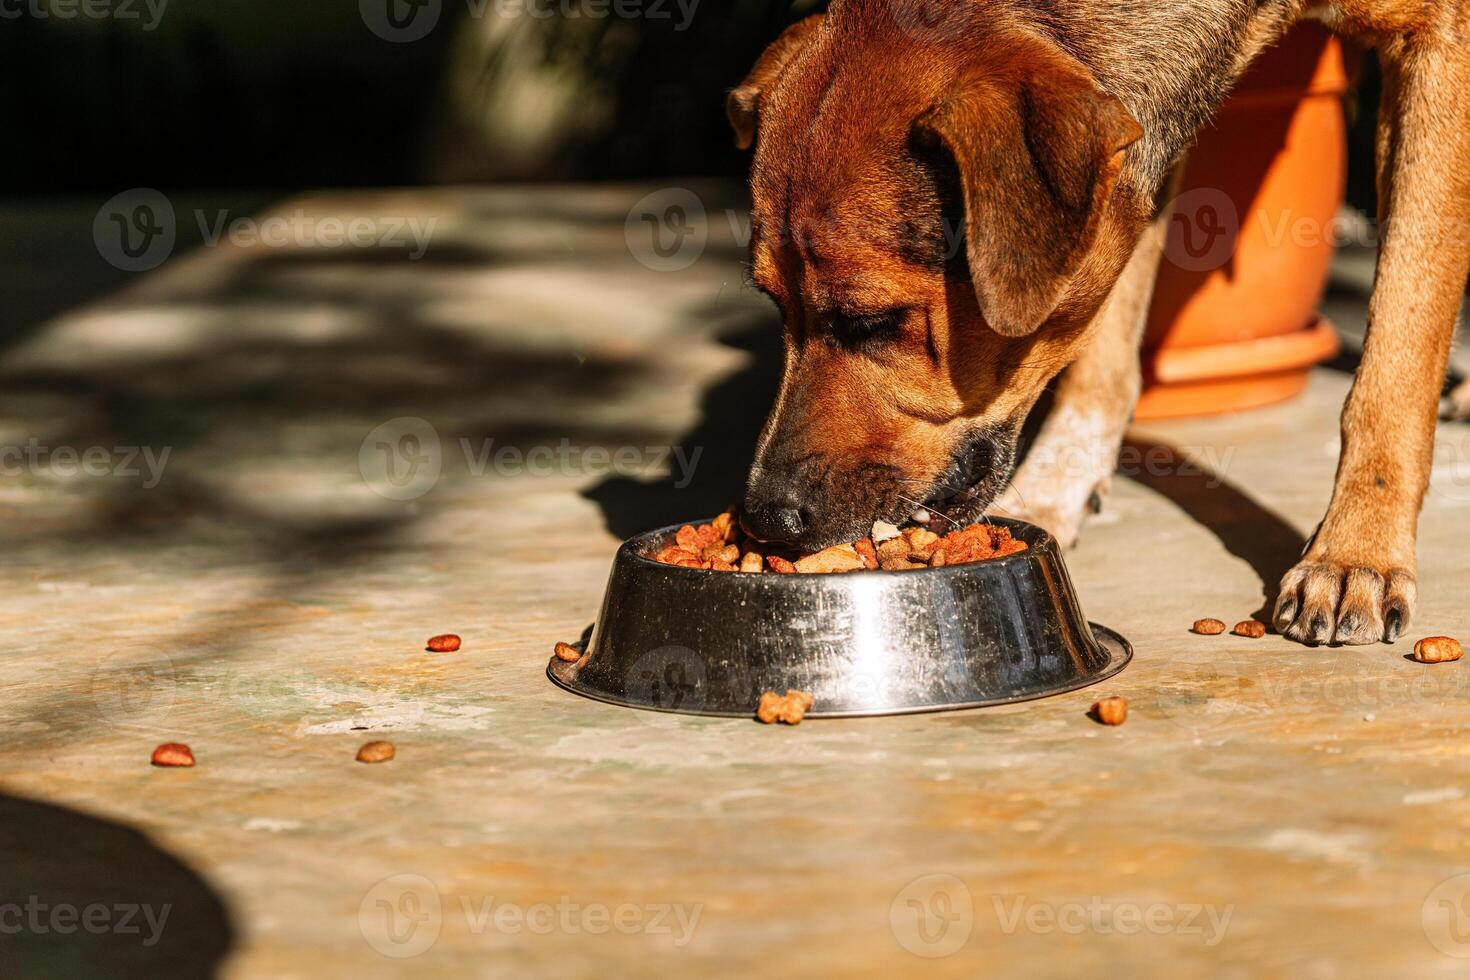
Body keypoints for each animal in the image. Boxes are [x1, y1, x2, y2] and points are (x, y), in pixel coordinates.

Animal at [726, 0, 1470, 646]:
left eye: (873, 321)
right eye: (774, 304)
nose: (765, 517)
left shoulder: (1437, 42)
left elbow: (1396, 352)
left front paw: (1355, 553)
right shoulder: (1135, 154)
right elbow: (1105, 340)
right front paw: (1054, 489)